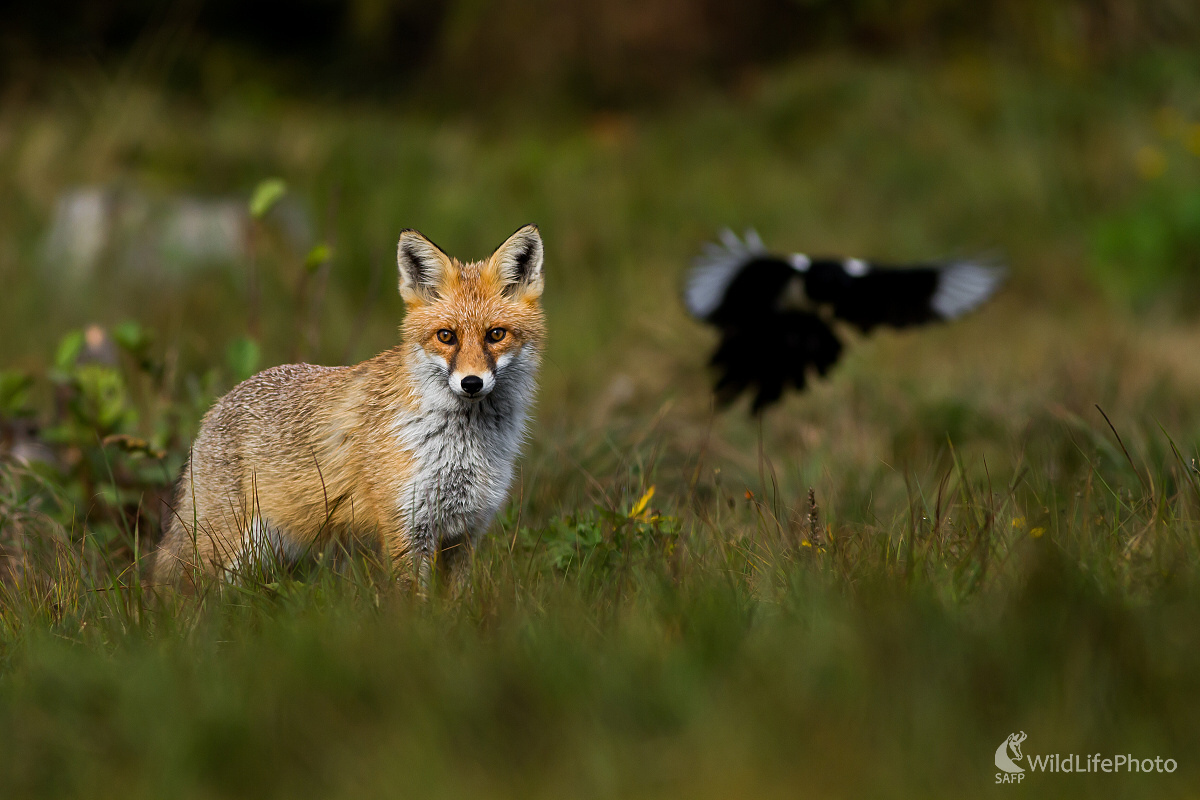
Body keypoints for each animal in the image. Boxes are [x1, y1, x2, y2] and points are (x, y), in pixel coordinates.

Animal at [152, 225, 547, 587]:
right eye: (446, 336)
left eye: (496, 335)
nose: (471, 383)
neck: (462, 448)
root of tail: (216, 407)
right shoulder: (406, 527)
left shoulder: (465, 532)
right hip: (222, 549)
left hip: (266, 550)